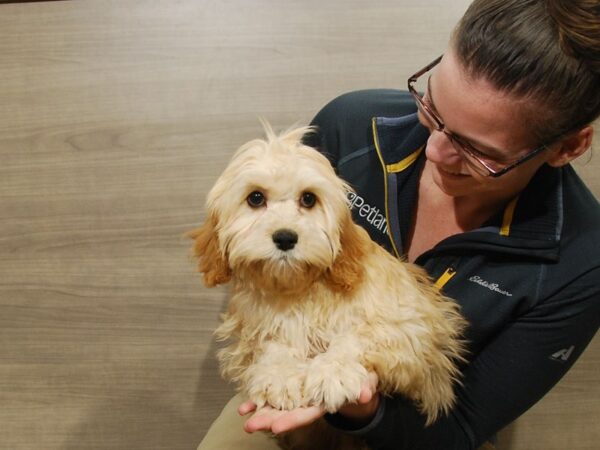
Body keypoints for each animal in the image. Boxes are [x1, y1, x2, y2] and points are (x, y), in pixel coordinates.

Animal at [190, 122, 466, 446]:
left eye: (308, 199)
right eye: (255, 198)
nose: (285, 237)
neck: (302, 290)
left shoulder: (410, 326)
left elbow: (358, 336)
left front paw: (333, 371)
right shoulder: (254, 327)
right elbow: (272, 341)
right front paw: (279, 375)